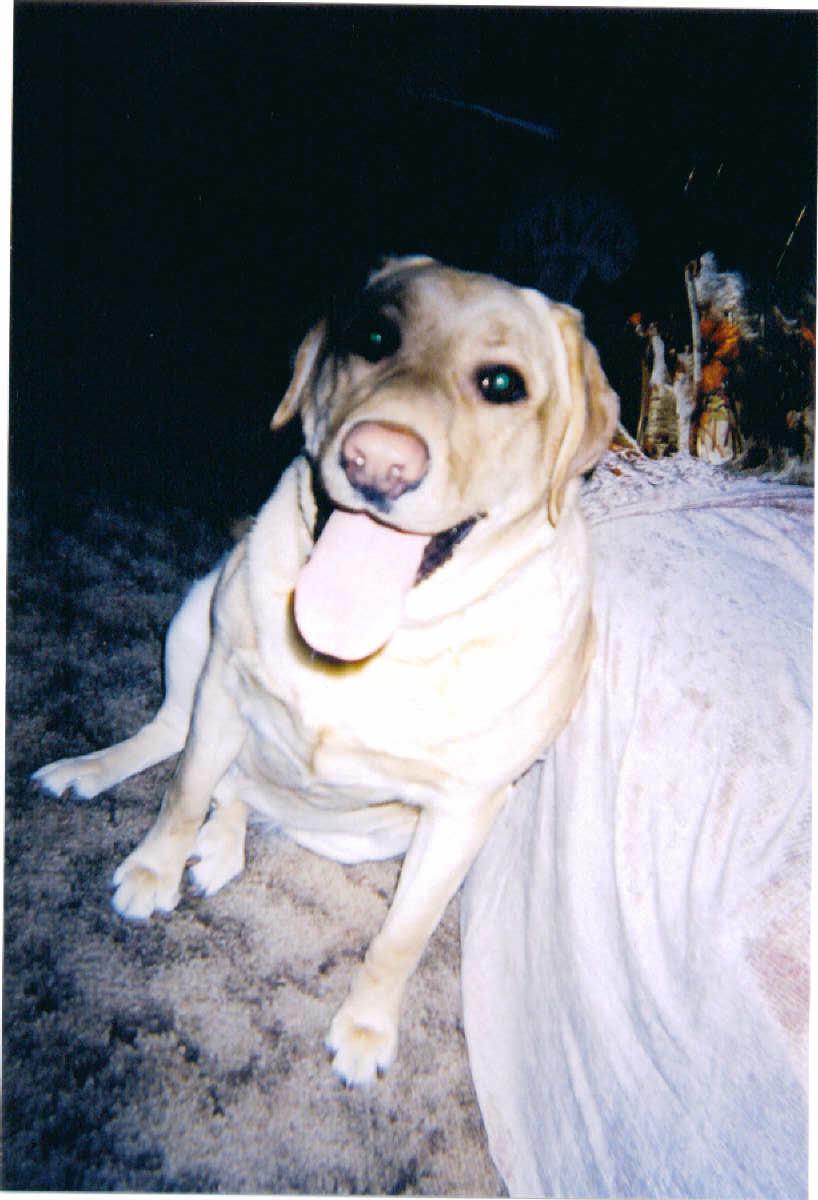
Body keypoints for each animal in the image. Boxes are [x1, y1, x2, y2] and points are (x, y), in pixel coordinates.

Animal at [35, 255, 614, 1089]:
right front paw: (153, 868)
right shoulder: (224, 684)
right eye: (373, 338)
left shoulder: (465, 812)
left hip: (371, 837)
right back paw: (94, 776)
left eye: (502, 383)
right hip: (195, 616)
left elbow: (402, 936)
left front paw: (366, 1028)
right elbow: (181, 793)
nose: (378, 461)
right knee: (175, 743)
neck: (380, 645)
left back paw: (224, 841)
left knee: (245, 796)